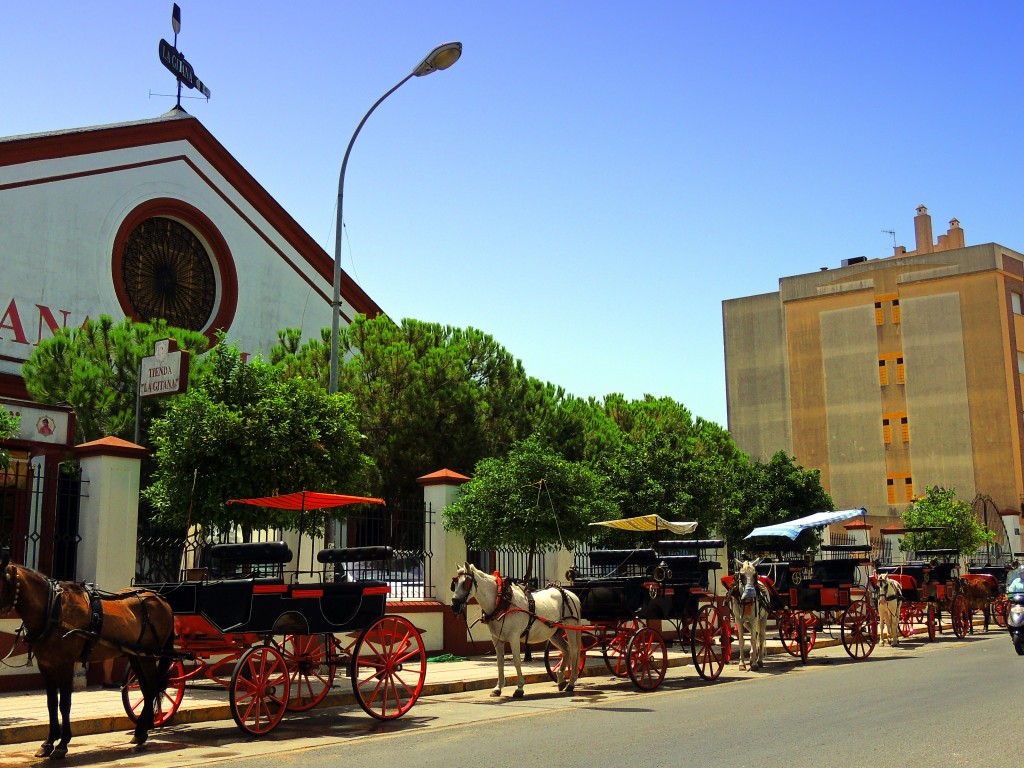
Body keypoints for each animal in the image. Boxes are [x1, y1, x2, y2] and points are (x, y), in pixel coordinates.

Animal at [0, 552, 174, 765]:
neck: (52, 609)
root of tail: (160, 598)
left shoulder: (65, 664)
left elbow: (64, 703)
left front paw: (62, 744)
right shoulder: (46, 665)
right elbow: (51, 703)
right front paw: (48, 743)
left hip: (148, 655)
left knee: (153, 686)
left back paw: (142, 729)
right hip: (136, 655)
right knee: (147, 689)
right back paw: (141, 731)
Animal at [450, 561, 585, 700]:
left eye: (465, 583)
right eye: (454, 584)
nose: (454, 606)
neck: (502, 601)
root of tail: (571, 594)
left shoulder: (513, 637)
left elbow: (516, 661)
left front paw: (519, 688)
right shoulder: (497, 638)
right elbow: (500, 662)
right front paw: (498, 688)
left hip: (571, 627)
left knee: (574, 650)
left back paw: (571, 683)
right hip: (554, 632)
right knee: (566, 650)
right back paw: (561, 680)